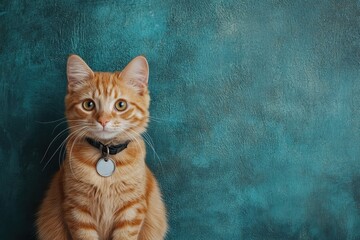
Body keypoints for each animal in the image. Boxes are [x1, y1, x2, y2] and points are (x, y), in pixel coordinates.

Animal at [35, 54, 168, 240]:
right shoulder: (77, 210)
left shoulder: (131, 211)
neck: (106, 153)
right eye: (88, 104)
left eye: (121, 105)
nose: (103, 121)